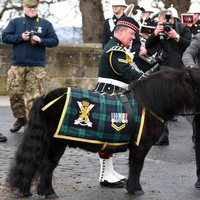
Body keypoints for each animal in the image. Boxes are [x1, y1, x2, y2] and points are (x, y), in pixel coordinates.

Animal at [7, 66, 200, 198]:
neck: (147, 104)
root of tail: (46, 97)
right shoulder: (140, 146)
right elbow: (137, 167)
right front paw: (135, 189)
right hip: (56, 143)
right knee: (47, 166)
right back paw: (48, 191)